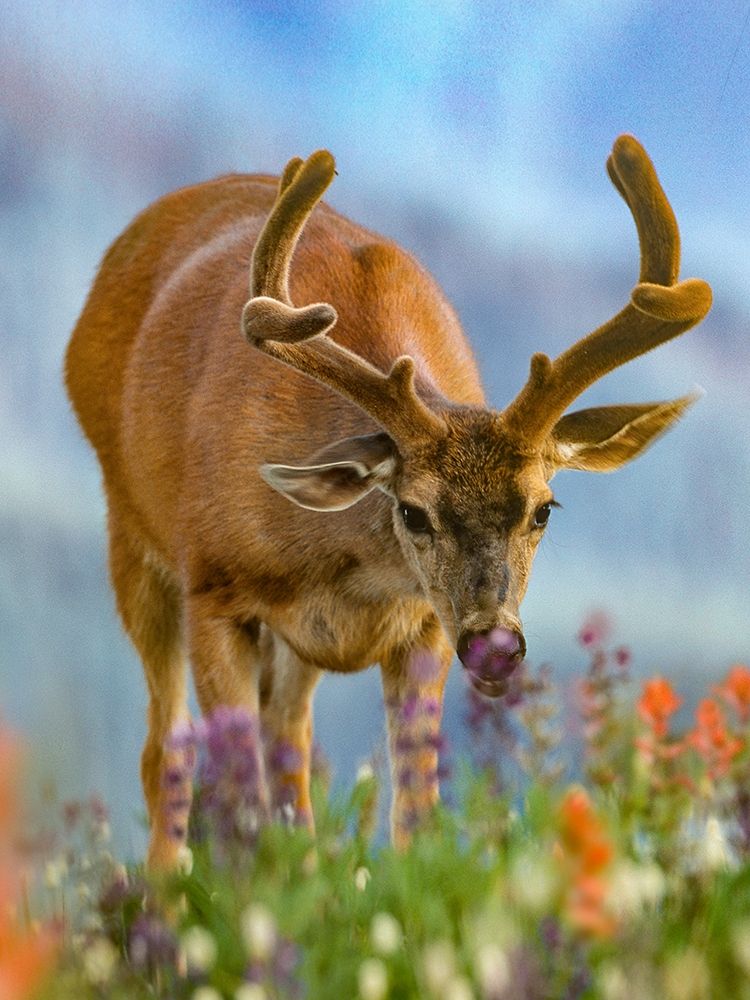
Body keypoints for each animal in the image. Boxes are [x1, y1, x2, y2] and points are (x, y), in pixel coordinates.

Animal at [64, 135, 711, 868]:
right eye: (412, 511)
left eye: (544, 509)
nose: (495, 642)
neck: (347, 574)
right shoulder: (213, 588)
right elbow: (238, 808)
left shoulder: (426, 625)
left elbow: (416, 812)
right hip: (130, 535)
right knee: (166, 754)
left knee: (289, 746)